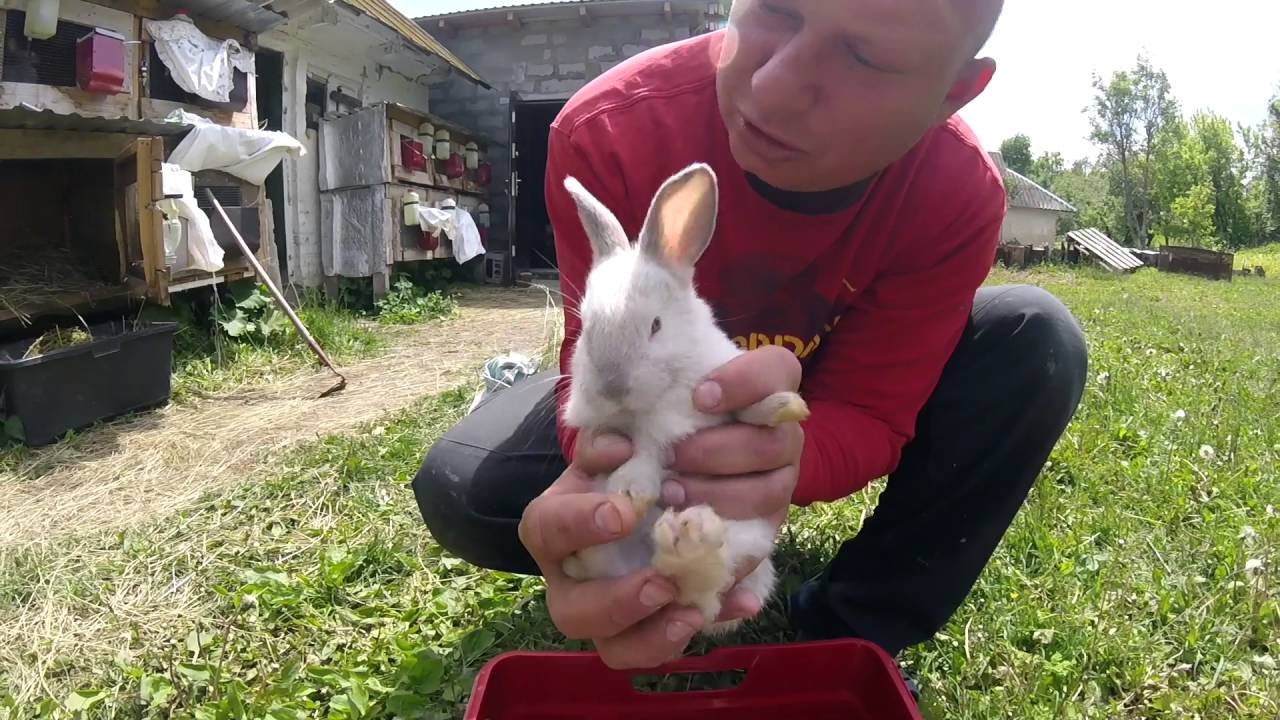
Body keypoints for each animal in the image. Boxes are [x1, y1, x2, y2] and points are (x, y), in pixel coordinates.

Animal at [555, 163, 803, 632]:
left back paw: (689, 539)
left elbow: (744, 410)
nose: (613, 387)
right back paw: (675, 543)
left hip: (747, 546)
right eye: (587, 327)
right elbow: (643, 457)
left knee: (702, 593)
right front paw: (627, 494)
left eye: (655, 325)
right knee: (688, 592)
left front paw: (786, 407)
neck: (657, 400)